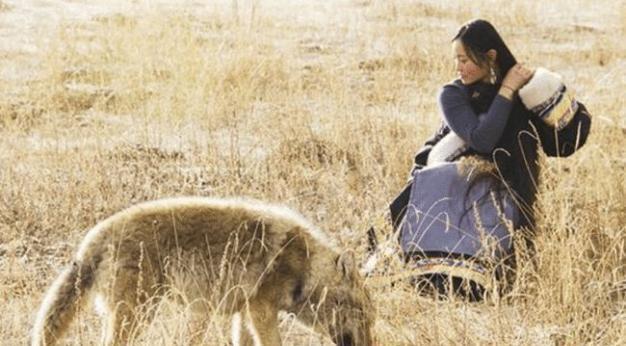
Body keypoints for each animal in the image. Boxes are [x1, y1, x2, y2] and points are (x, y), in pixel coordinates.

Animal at [31, 197, 372, 346]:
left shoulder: (244, 312)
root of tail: (92, 239)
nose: (370, 344)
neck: (304, 264)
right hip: (139, 313)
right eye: (363, 318)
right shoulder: (261, 310)